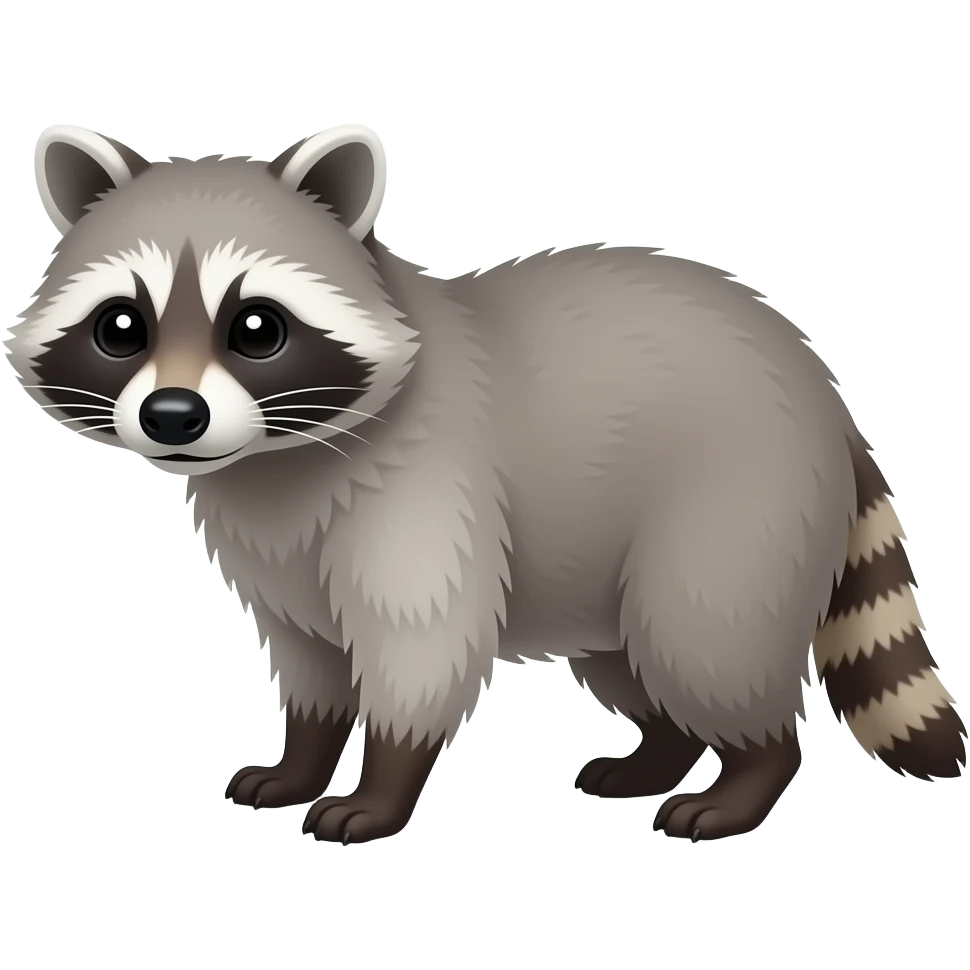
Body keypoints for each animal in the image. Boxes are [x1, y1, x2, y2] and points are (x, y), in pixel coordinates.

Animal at [7, 123, 966, 846]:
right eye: (121, 327)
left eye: (255, 328)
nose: (174, 415)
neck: (277, 454)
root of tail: (822, 390)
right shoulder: (273, 545)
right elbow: (310, 660)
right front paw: (300, 758)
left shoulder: (426, 482)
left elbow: (421, 646)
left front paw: (380, 788)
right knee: (631, 662)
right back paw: (656, 753)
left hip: (737, 504)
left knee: (703, 641)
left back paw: (749, 775)